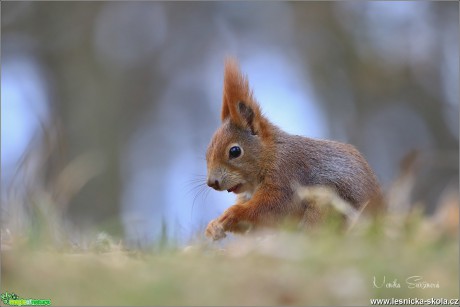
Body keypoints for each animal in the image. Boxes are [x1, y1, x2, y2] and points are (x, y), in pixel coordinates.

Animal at [205, 57, 380, 241]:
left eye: (235, 151)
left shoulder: (287, 175)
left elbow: (272, 207)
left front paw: (233, 213)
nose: (212, 182)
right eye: (207, 151)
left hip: (328, 206)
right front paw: (213, 226)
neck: (271, 154)